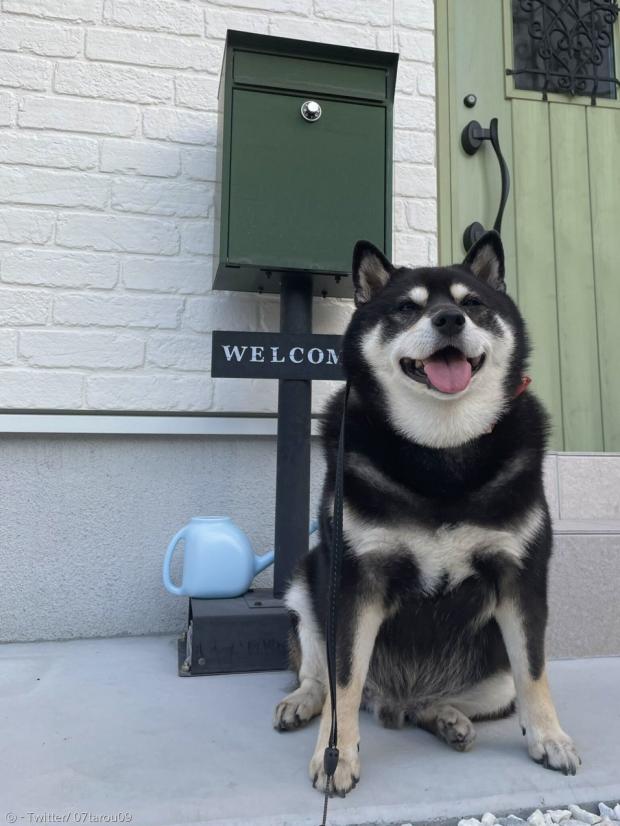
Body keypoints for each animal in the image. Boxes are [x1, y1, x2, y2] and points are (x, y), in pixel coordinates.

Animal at [274, 230, 580, 792]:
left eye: (473, 304)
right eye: (405, 308)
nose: (449, 320)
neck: (440, 451)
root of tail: (394, 700)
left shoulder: (520, 577)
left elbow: (534, 671)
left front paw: (549, 738)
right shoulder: (354, 579)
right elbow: (342, 679)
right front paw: (335, 754)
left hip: (492, 673)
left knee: (440, 703)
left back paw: (447, 717)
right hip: (305, 582)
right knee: (319, 673)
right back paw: (303, 701)